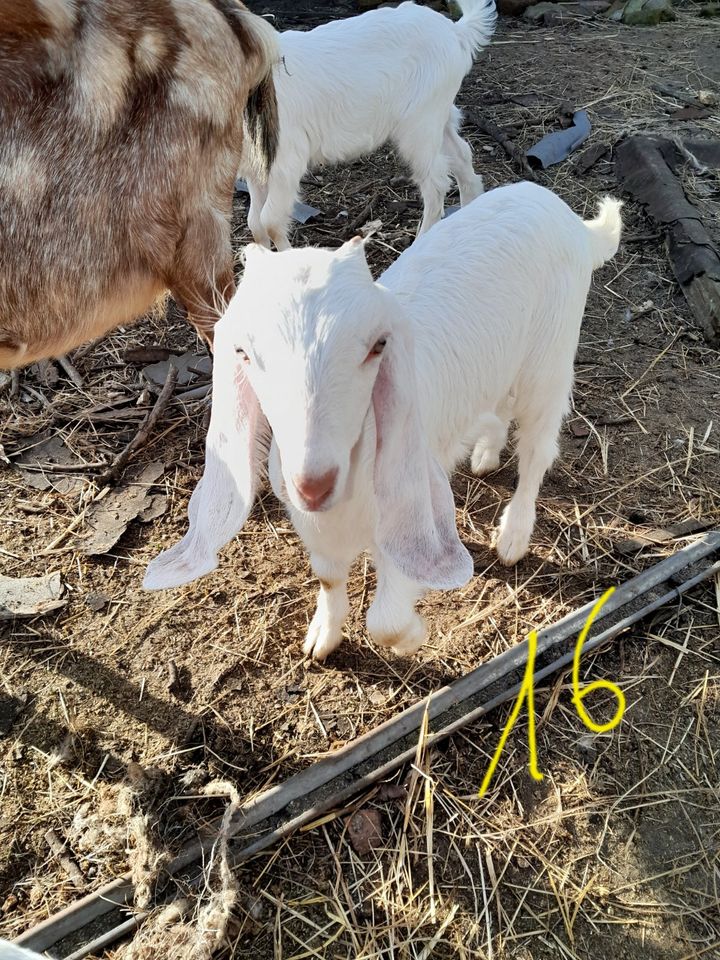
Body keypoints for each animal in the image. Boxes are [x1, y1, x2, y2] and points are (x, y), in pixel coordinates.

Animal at [143, 180, 620, 660]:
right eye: (243, 351)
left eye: (377, 346)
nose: (312, 484)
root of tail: (560, 211)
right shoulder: (316, 526)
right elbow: (328, 577)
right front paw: (323, 637)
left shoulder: (406, 517)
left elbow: (385, 620)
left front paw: (412, 637)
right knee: (500, 405)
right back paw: (485, 453)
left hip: (550, 357)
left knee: (538, 448)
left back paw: (513, 537)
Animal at [239, 0, 498, 251]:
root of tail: (456, 32)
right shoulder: (255, 168)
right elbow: (255, 223)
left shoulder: (286, 160)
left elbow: (270, 221)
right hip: (439, 113)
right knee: (461, 154)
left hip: (420, 123)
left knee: (436, 182)